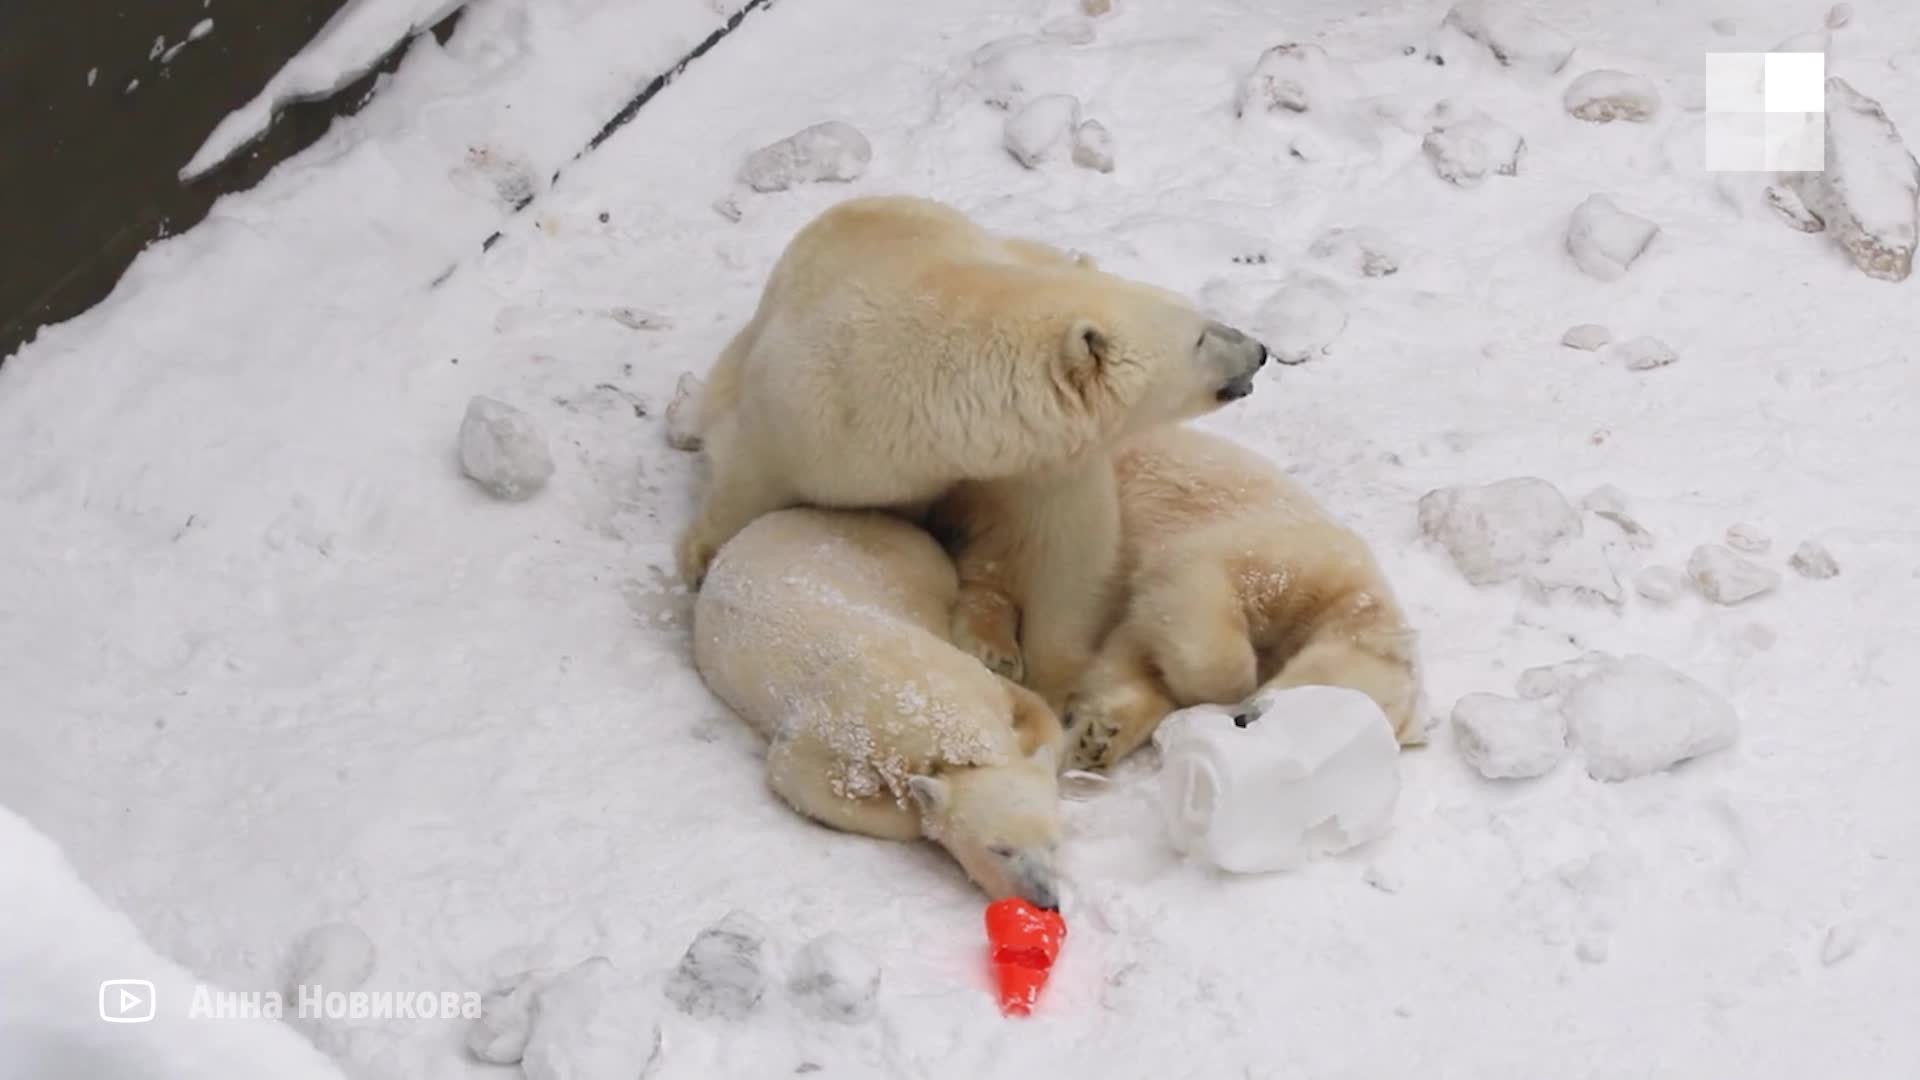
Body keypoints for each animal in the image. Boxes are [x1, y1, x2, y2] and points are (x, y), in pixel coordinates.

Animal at [679, 193, 1274, 699]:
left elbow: (1063, 549)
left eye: (1205, 318)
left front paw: (1055, 677)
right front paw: (699, 558)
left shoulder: (1034, 459)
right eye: (1200, 337)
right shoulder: (814, 410)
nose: (1260, 350)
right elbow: (750, 470)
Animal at [691, 499, 1075, 903]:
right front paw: (908, 807)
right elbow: (796, 769)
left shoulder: (974, 678)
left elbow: (1032, 708)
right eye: (1000, 849)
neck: (938, 709)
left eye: (1054, 844)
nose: (1046, 901)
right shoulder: (848, 723)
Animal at [1052, 424, 1428, 768]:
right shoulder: (1289, 560)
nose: (1245, 720)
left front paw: (1098, 738)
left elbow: (1128, 651)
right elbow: (1198, 585)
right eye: (1318, 704)